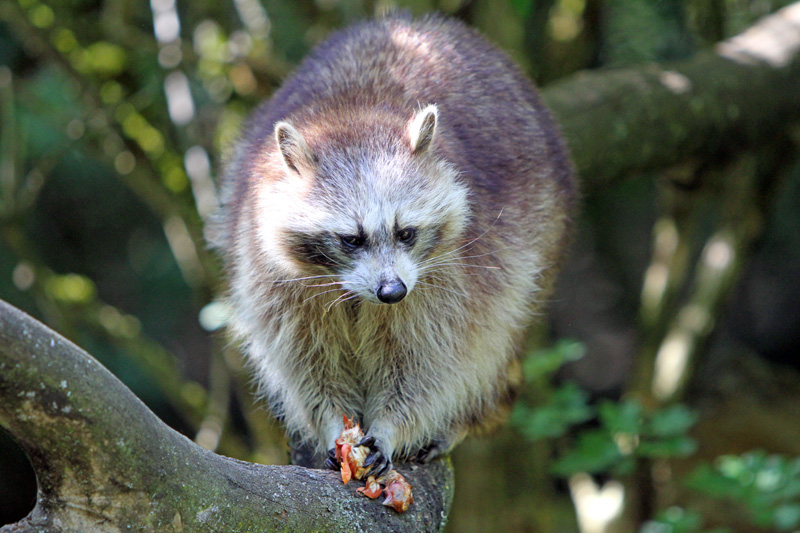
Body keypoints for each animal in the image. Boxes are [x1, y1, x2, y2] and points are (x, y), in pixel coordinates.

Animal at [209, 14, 580, 476]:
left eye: (406, 232)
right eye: (351, 239)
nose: (392, 292)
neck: (354, 115)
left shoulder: (451, 276)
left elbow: (428, 361)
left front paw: (391, 425)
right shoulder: (273, 277)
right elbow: (307, 363)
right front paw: (331, 422)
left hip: (543, 230)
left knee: (496, 333)